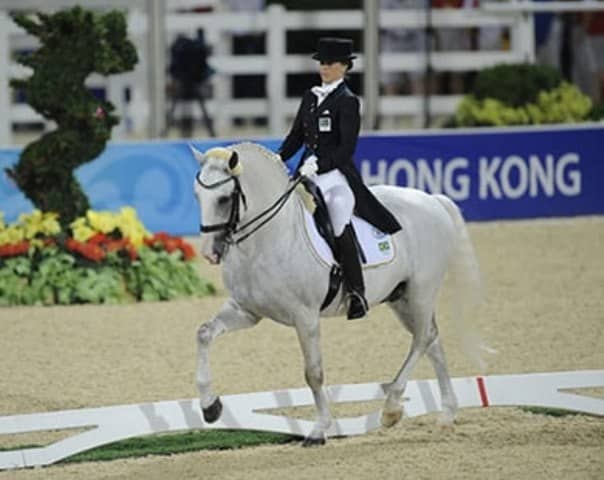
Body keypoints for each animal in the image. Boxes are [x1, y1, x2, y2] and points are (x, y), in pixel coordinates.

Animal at [192, 142, 482, 446]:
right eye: (197, 195)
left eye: (225, 199)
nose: (210, 253)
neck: (268, 239)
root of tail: (432, 200)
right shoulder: (246, 311)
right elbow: (204, 333)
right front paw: (210, 407)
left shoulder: (305, 317)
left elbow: (314, 373)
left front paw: (319, 430)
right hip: (401, 298)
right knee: (431, 340)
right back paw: (447, 415)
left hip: (421, 291)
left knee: (422, 339)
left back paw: (391, 408)